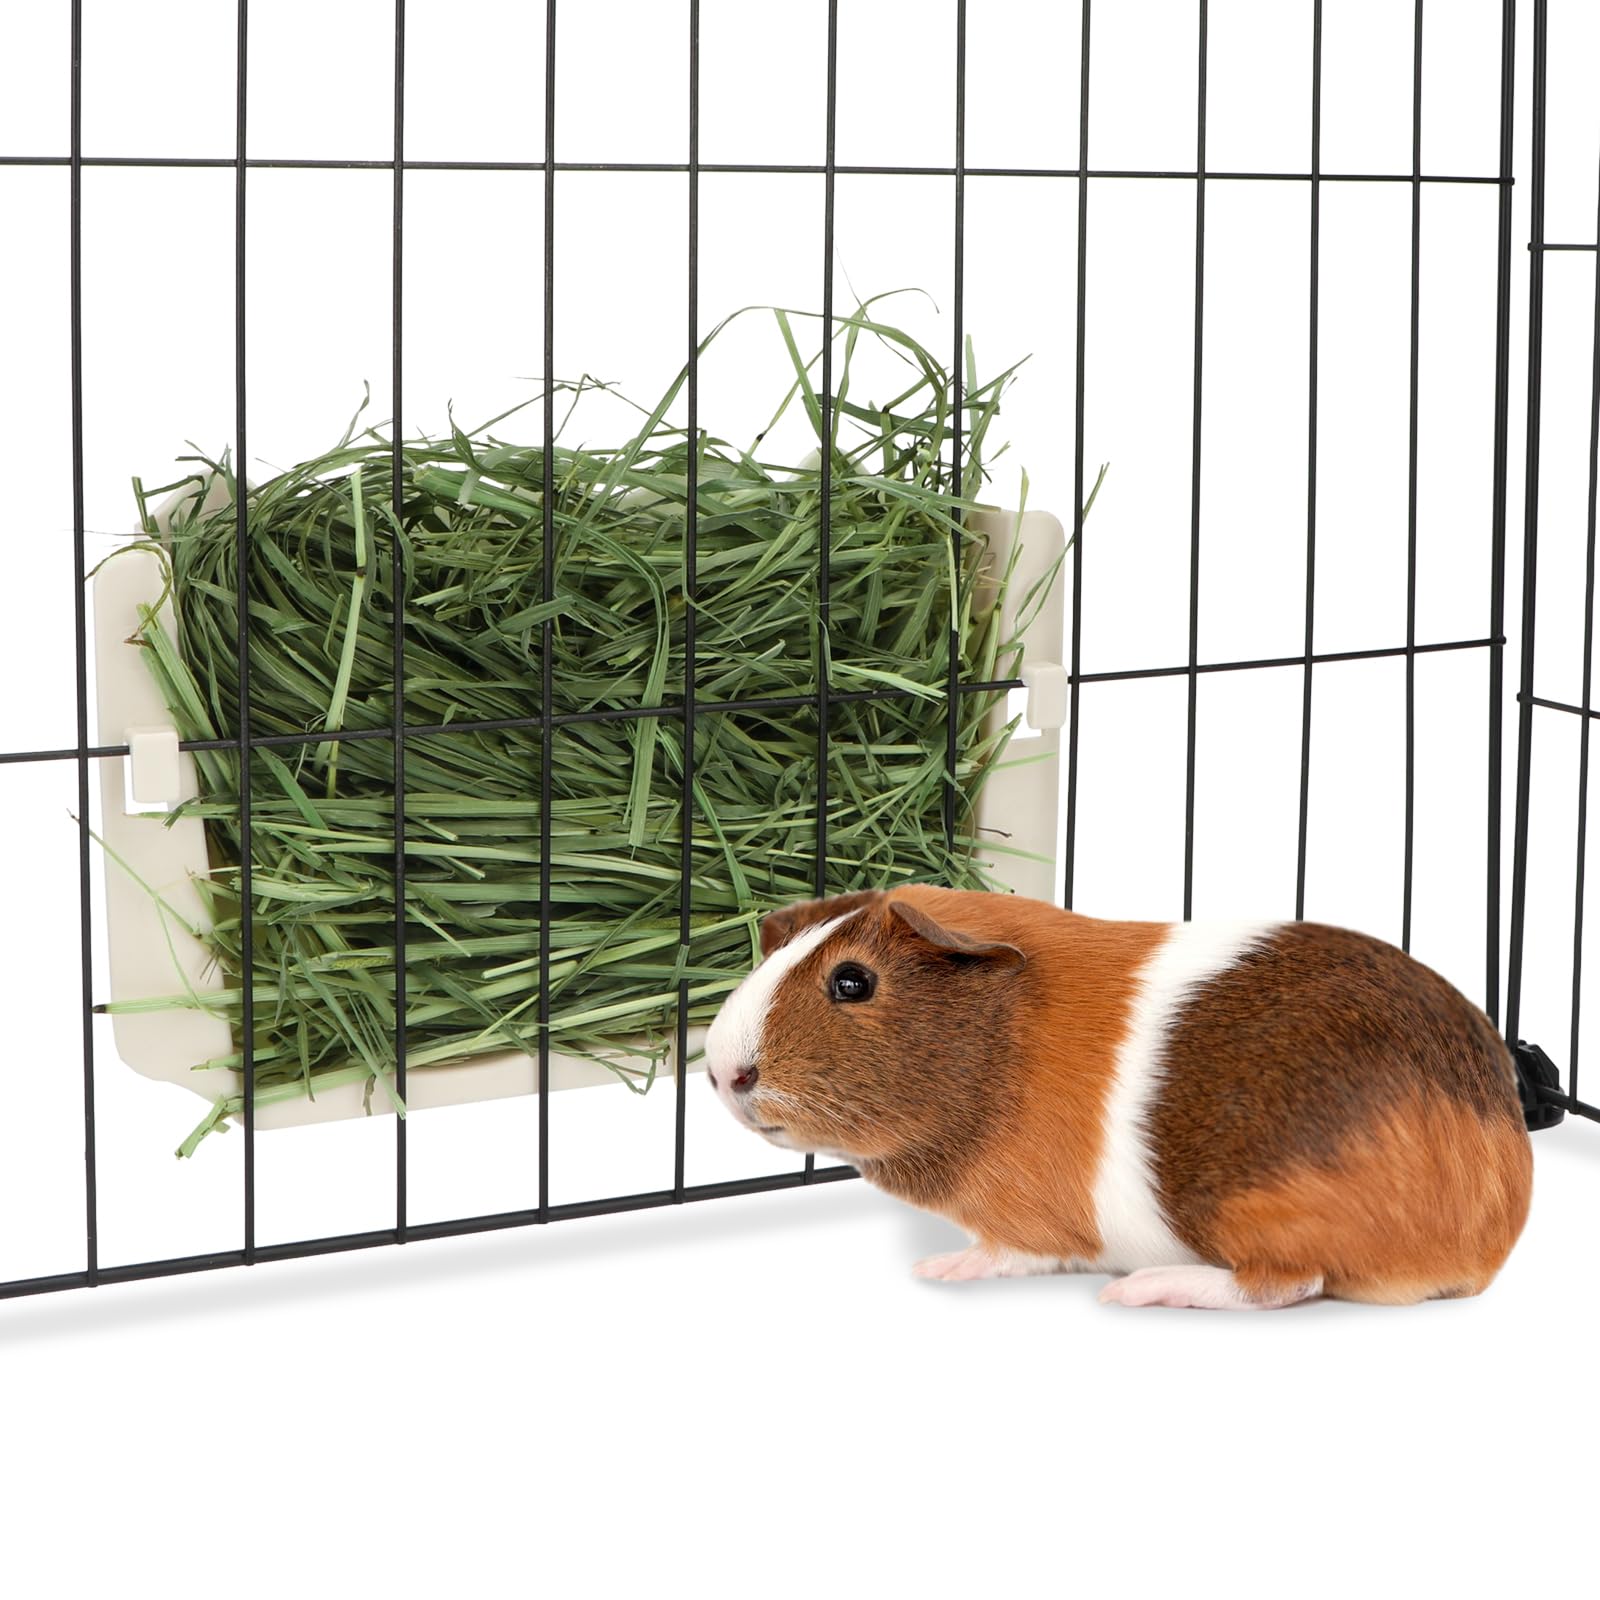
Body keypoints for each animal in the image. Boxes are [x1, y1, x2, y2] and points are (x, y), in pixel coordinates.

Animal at [703, 885, 1533, 1309]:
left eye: (853, 981)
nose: (721, 1072)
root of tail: (1490, 1233)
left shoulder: (1035, 1226)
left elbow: (1010, 1253)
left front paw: (939, 1270)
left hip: (1248, 1209)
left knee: (1283, 1283)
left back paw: (1140, 1291)